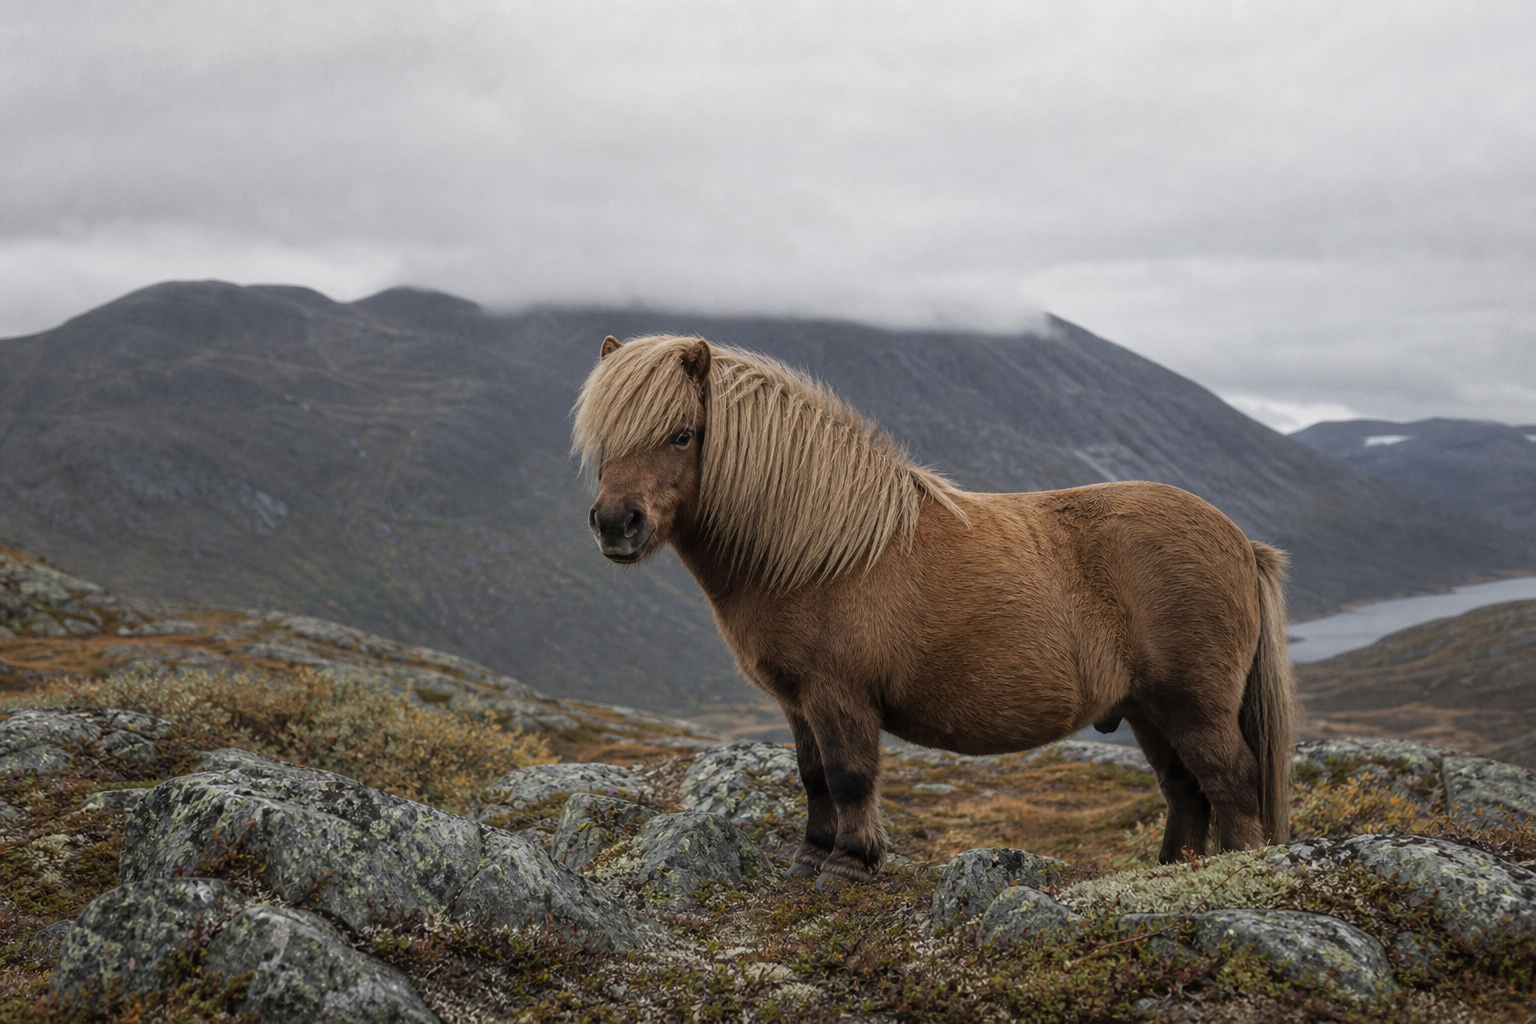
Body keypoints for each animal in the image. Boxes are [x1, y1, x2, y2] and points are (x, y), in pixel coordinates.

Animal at [573, 332, 1296, 888]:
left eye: (681, 434)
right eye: (602, 441)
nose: (615, 525)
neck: (820, 552)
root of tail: (1240, 540)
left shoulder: (839, 696)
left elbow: (849, 777)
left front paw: (849, 863)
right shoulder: (796, 701)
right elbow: (812, 777)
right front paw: (809, 858)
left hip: (1193, 705)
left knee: (1231, 781)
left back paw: (1231, 873)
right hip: (1150, 709)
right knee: (1185, 791)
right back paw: (1171, 873)